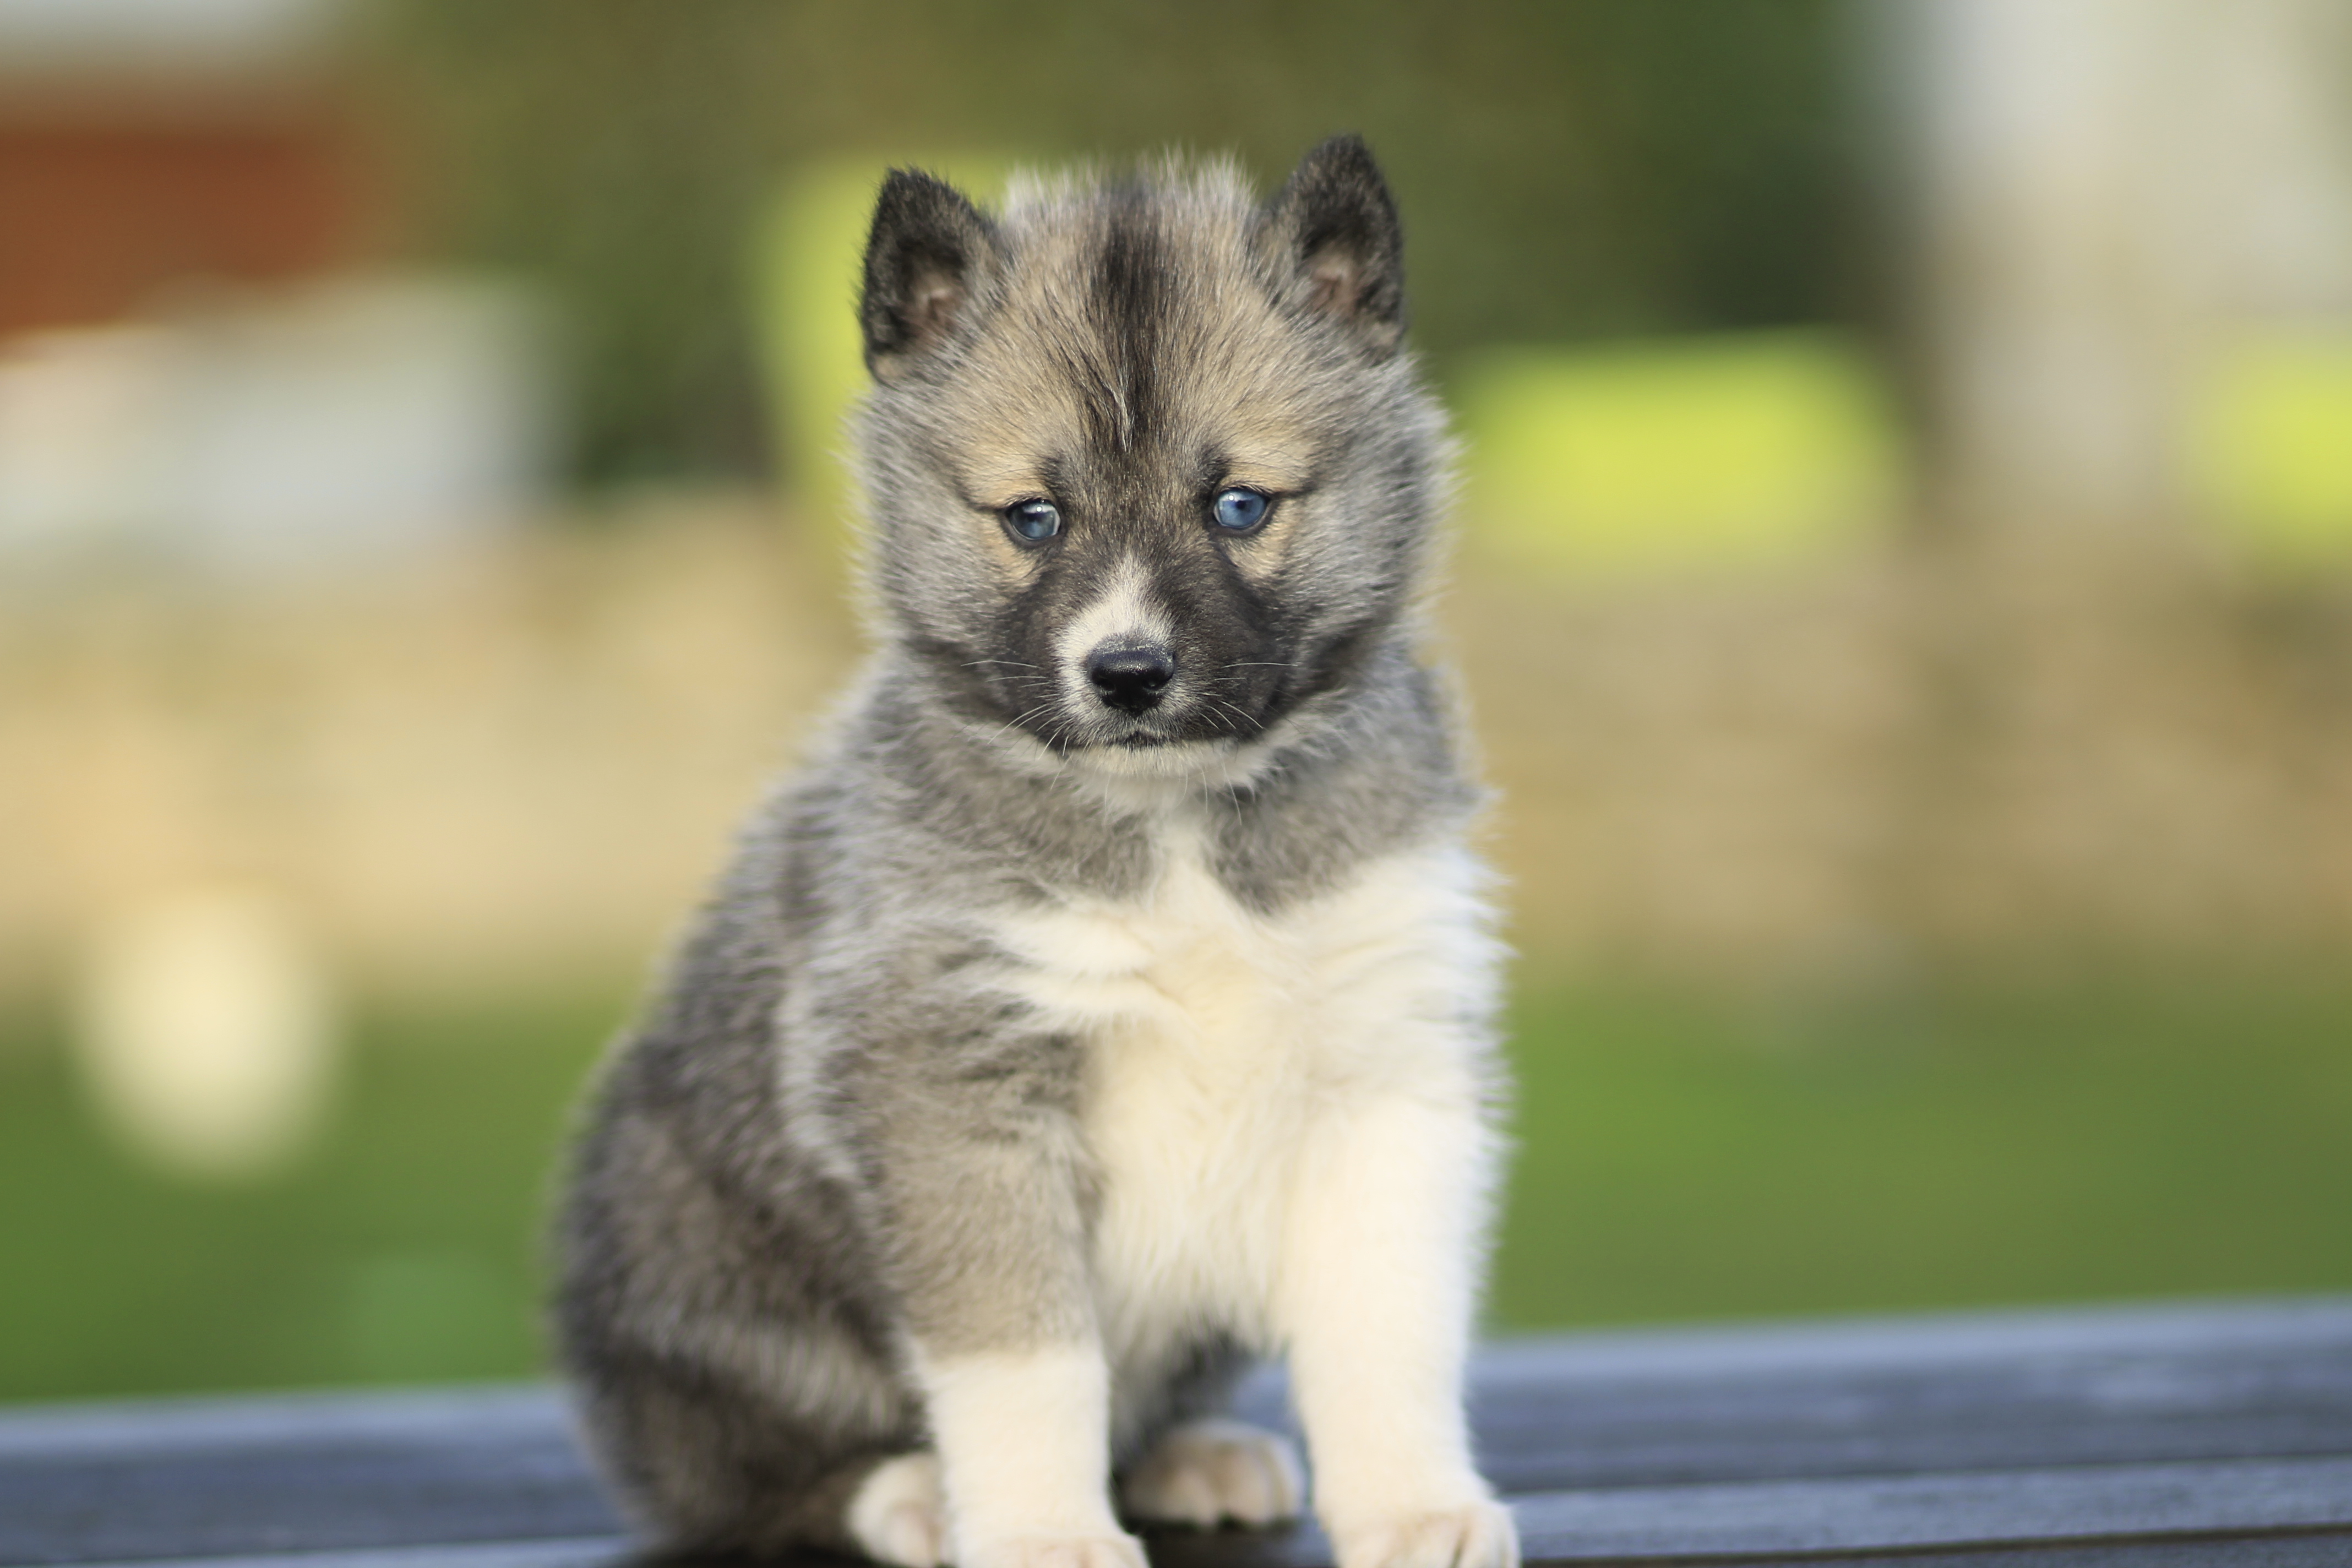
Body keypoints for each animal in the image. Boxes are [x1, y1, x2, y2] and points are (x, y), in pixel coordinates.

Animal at [552, 135, 1515, 1568]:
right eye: (1033, 518)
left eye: (1239, 505)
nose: (1127, 673)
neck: (1174, 822)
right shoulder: (955, 1087)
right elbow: (1025, 1356)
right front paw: (1043, 1529)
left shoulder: (1381, 1066)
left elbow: (1384, 1330)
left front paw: (1412, 1504)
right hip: (700, 1264)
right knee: (737, 1475)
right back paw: (904, 1493)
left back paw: (1186, 1454)